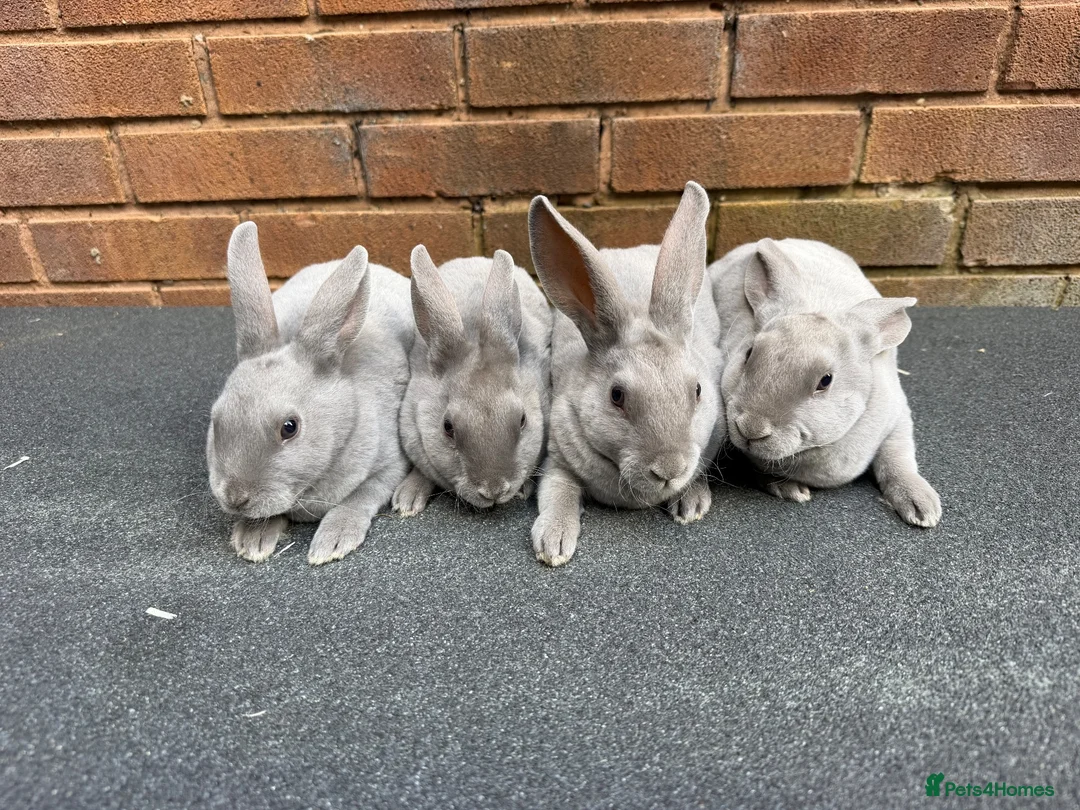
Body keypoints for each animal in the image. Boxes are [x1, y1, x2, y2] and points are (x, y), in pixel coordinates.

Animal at [206, 222, 414, 565]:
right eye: (216, 420)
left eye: (289, 428)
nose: (235, 498)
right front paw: (252, 539)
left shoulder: (390, 464)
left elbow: (360, 497)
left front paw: (333, 542)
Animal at [527, 181, 725, 566]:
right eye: (616, 396)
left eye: (697, 390)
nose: (669, 470)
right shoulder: (557, 461)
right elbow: (557, 492)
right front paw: (553, 544)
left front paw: (691, 503)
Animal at [710, 237, 941, 527]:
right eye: (749, 353)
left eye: (826, 380)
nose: (751, 428)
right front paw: (789, 488)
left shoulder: (898, 419)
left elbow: (897, 459)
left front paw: (922, 507)